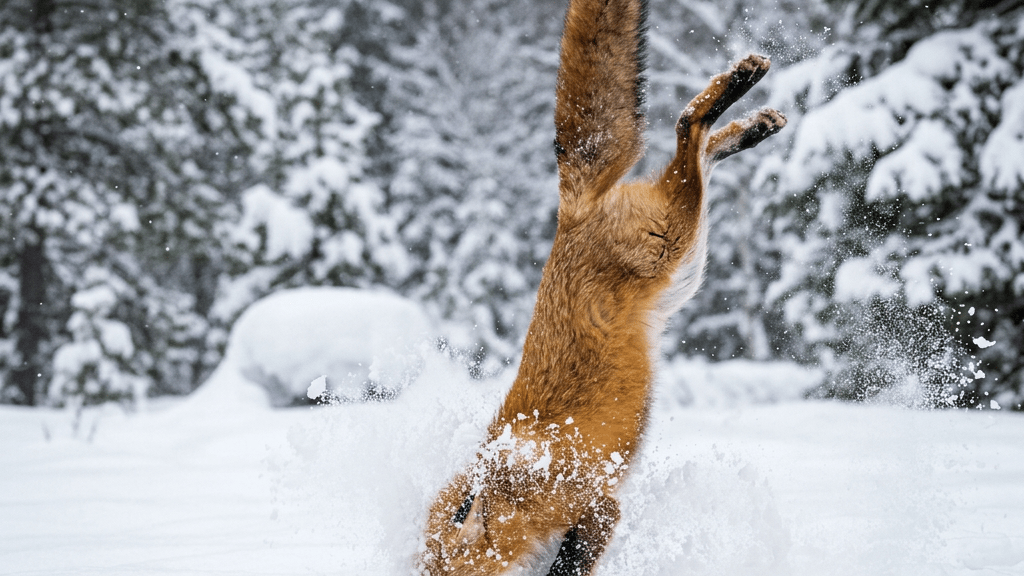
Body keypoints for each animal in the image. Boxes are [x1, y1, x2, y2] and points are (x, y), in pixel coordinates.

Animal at [419, 0, 786, 574]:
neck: (511, 490)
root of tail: (572, 210)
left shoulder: (596, 504)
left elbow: (568, 564)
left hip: (672, 237)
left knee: (686, 127)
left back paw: (738, 81)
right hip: (686, 251)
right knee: (701, 152)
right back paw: (753, 125)